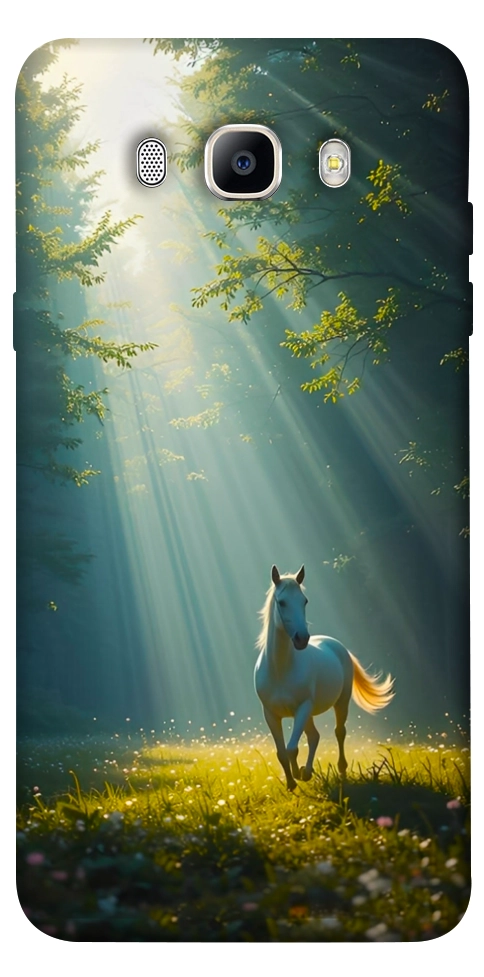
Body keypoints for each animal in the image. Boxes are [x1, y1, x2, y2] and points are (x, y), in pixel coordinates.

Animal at [254, 564, 394, 791]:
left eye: (304, 601)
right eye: (282, 602)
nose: (302, 638)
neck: (280, 670)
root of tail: (336, 645)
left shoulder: (302, 708)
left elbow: (292, 748)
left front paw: (298, 774)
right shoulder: (271, 715)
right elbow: (282, 752)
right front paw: (292, 782)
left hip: (340, 703)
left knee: (339, 732)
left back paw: (340, 770)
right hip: (308, 714)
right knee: (314, 736)